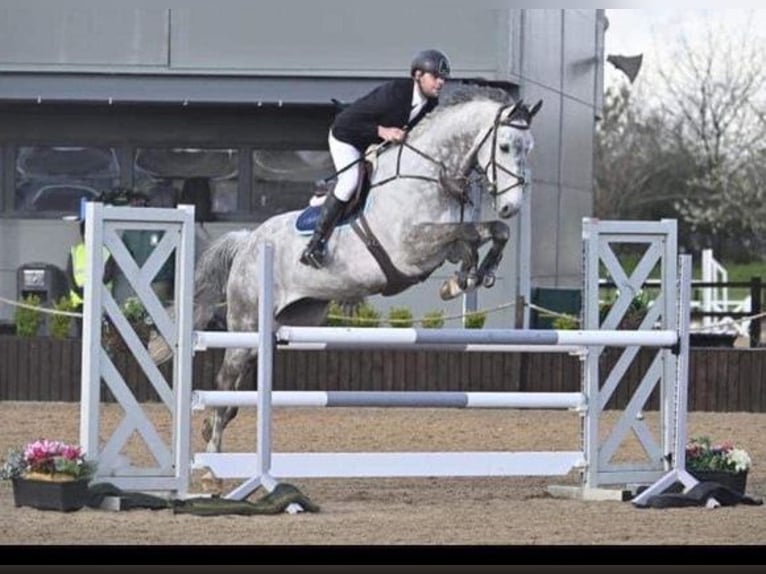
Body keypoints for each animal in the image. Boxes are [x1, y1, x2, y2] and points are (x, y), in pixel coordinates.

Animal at [195, 86, 544, 454]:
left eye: (528, 148)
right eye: (504, 146)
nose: (510, 207)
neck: (428, 175)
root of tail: (248, 241)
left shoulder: (438, 248)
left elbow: (487, 233)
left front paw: (468, 277)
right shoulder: (412, 247)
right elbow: (469, 233)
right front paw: (466, 276)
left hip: (290, 320)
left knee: (238, 380)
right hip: (246, 322)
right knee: (226, 377)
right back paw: (212, 453)